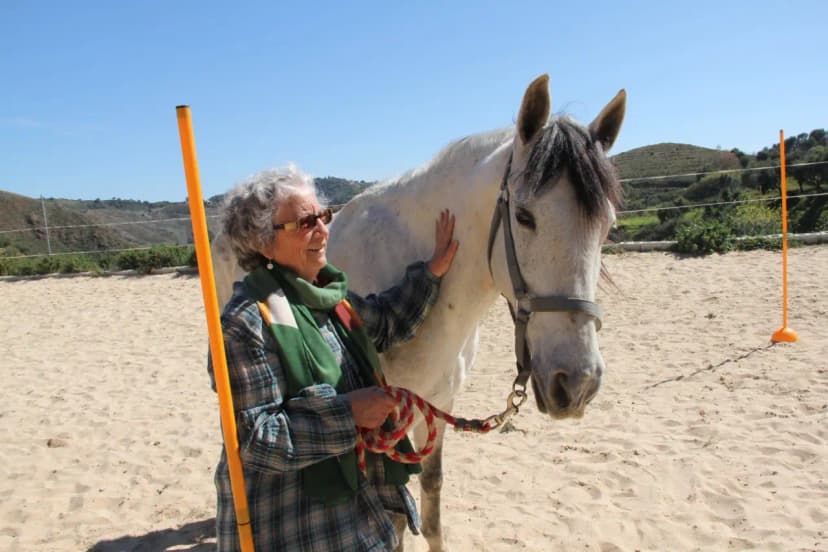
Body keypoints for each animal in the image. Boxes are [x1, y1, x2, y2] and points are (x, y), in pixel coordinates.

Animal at [212, 74, 625, 551]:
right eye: (524, 216)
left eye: (608, 224)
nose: (576, 384)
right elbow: (394, 515)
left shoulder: (438, 404)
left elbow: (430, 500)